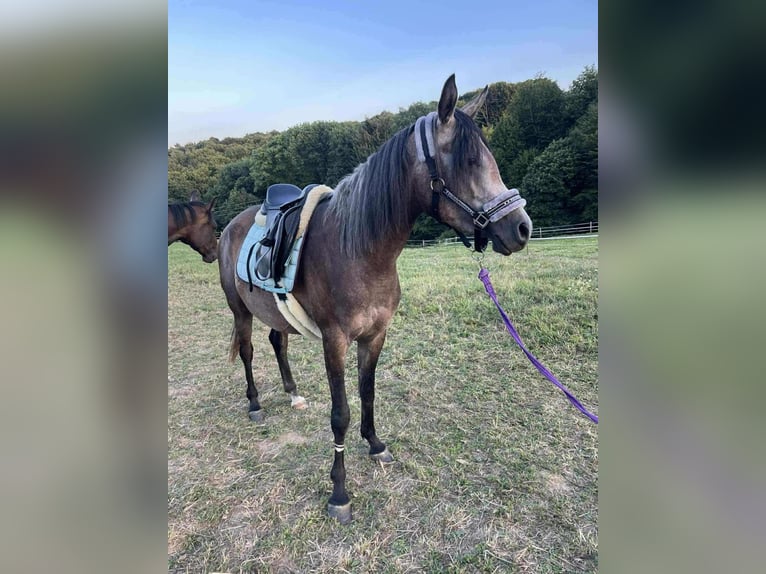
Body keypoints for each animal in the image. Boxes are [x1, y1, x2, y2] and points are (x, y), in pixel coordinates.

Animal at [218, 75, 532, 524]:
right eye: (469, 161)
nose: (521, 228)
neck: (360, 250)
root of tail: (230, 225)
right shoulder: (335, 341)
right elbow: (340, 414)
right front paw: (339, 493)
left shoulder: (376, 335)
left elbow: (367, 392)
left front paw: (376, 444)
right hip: (239, 310)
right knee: (246, 351)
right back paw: (255, 404)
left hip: (275, 313)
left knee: (278, 342)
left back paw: (292, 392)